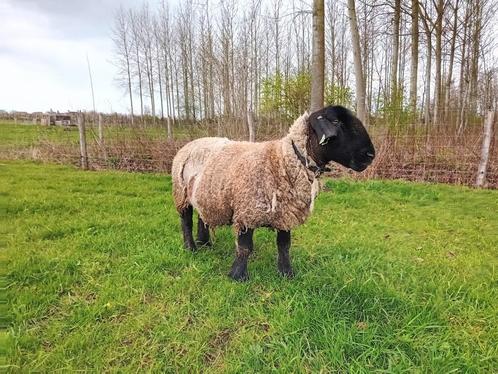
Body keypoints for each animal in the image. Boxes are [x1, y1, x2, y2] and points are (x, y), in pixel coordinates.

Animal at [171, 105, 374, 280]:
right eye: (336, 122)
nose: (371, 155)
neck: (282, 159)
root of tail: (193, 142)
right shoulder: (247, 211)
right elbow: (245, 247)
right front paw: (238, 276)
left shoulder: (286, 213)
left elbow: (284, 245)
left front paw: (286, 273)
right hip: (181, 193)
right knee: (186, 221)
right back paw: (191, 247)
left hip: (205, 195)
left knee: (202, 216)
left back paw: (204, 243)